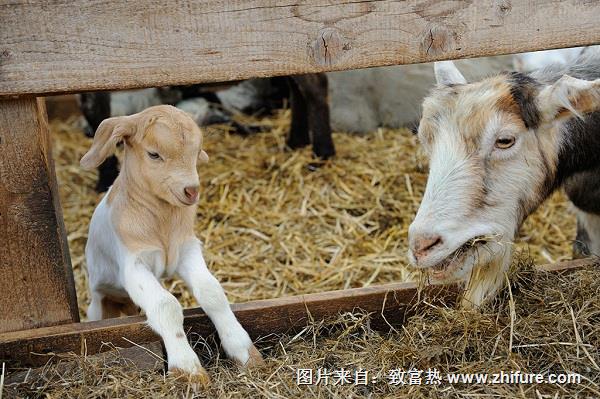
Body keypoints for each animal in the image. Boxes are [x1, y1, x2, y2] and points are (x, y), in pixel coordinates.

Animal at [80, 104, 262, 386]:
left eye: (197, 153)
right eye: (153, 154)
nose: (191, 190)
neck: (162, 222)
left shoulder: (187, 250)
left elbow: (212, 292)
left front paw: (244, 351)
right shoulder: (132, 263)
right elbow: (166, 305)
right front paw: (188, 369)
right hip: (100, 302)